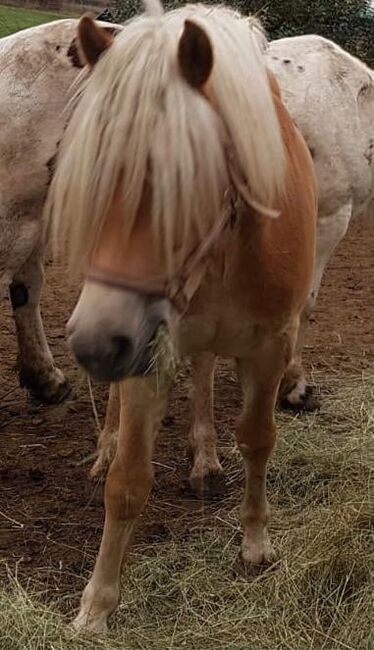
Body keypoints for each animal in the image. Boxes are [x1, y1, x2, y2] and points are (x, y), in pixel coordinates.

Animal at [46, 0, 316, 628]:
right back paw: (109, 444)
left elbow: (258, 439)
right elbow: (127, 481)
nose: (96, 345)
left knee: (206, 378)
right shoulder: (146, 354)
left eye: (181, 181)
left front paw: (254, 546)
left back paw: (205, 458)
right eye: (91, 180)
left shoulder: (271, 345)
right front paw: (95, 605)